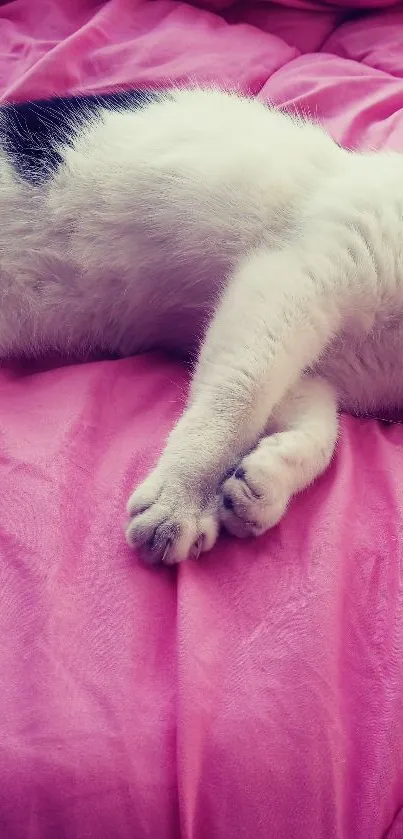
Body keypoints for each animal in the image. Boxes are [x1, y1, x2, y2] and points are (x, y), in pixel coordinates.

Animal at [0, 87, 403, 564]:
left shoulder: (318, 371)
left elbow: (322, 434)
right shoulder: (293, 277)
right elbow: (239, 398)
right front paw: (183, 498)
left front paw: (268, 482)